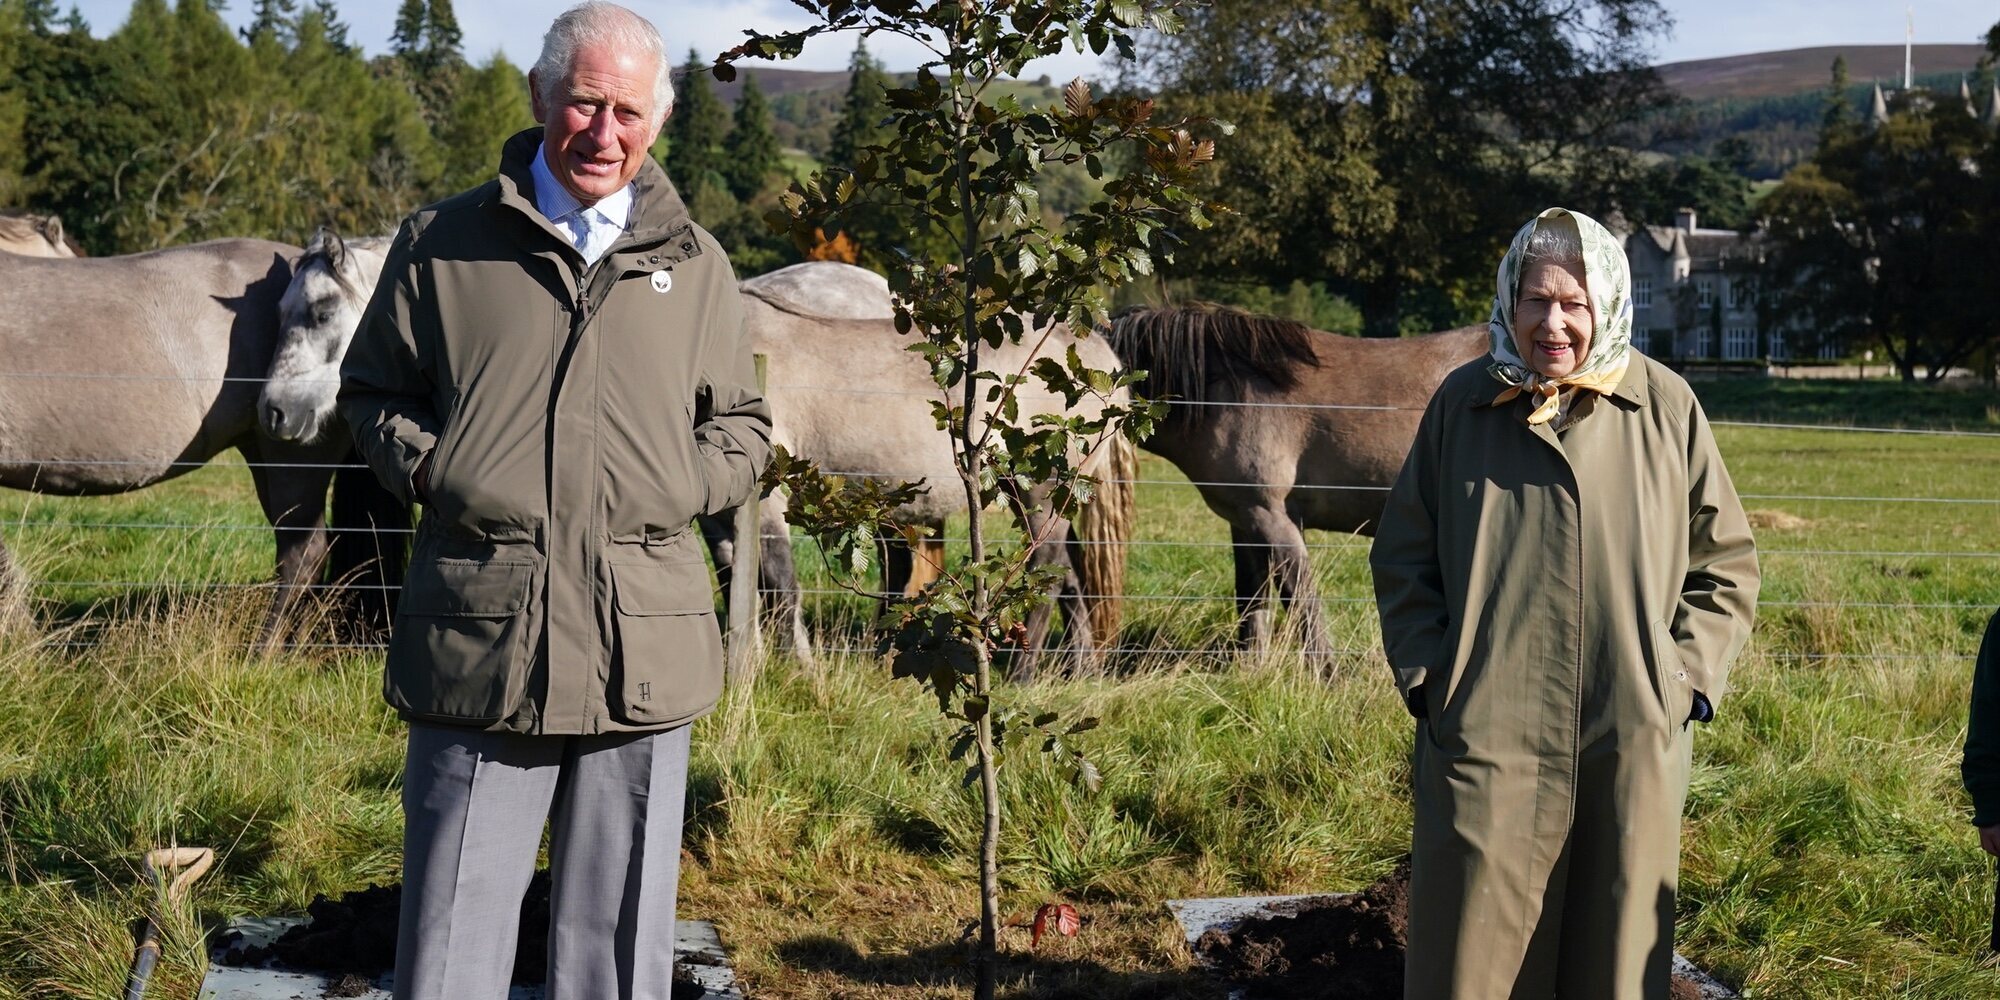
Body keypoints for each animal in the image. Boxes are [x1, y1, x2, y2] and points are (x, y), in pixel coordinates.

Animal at [1104, 304, 1496, 656]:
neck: (1226, 390)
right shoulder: (1245, 521)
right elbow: (1252, 601)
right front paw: (1251, 669)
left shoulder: (1272, 517)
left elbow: (1301, 601)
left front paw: (1328, 675)